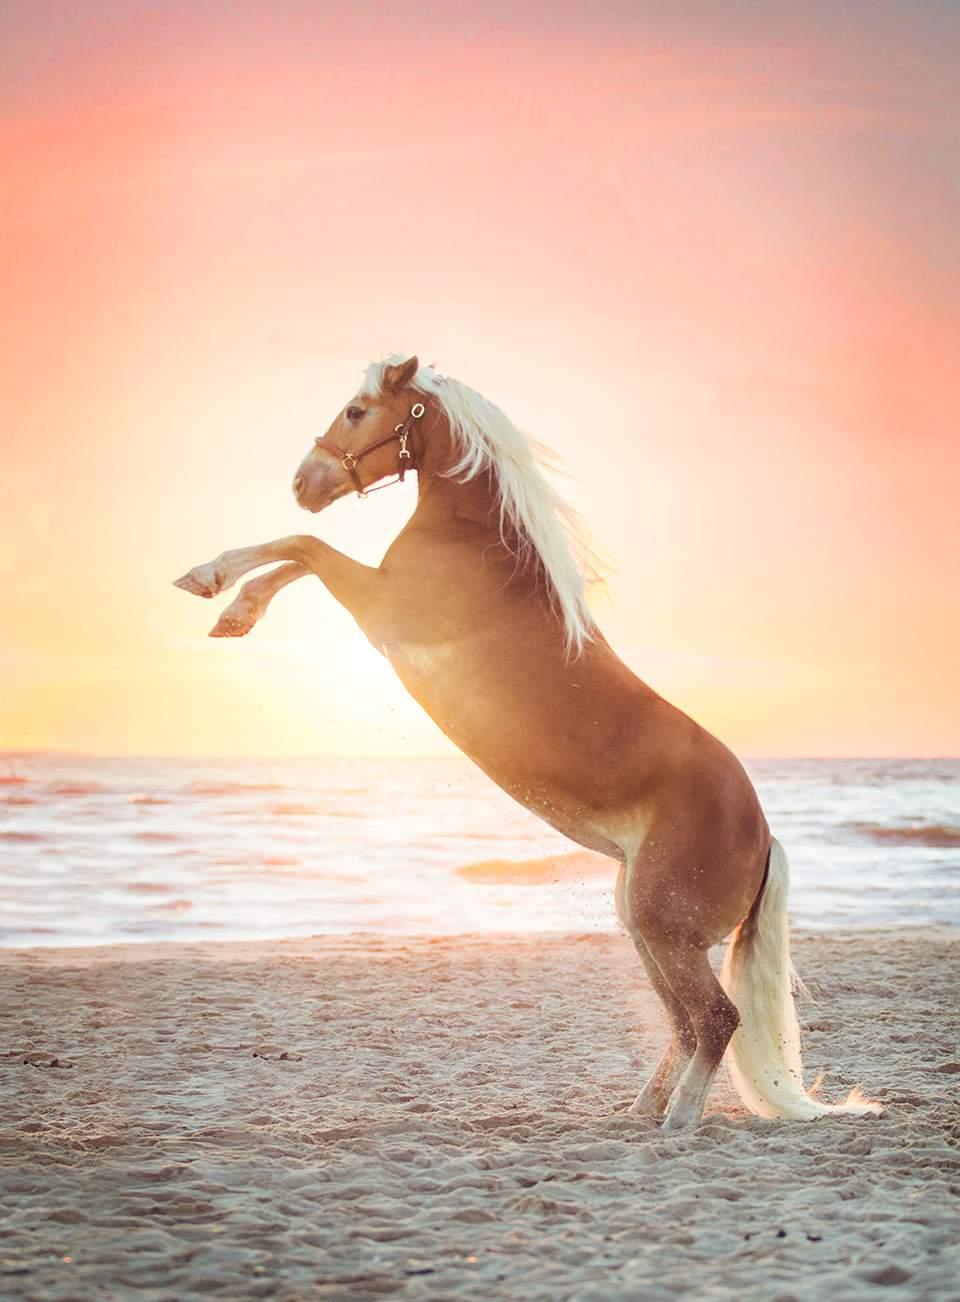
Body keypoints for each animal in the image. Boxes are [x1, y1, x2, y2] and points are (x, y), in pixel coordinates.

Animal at [175, 354, 880, 1130]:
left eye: (357, 411)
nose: (304, 484)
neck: (473, 541)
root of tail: (765, 837)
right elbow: (298, 556)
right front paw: (232, 611)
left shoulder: (380, 607)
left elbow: (305, 548)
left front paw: (212, 579)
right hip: (645, 927)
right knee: (684, 1024)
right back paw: (638, 1113)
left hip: (664, 928)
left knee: (716, 1020)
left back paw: (678, 1121)